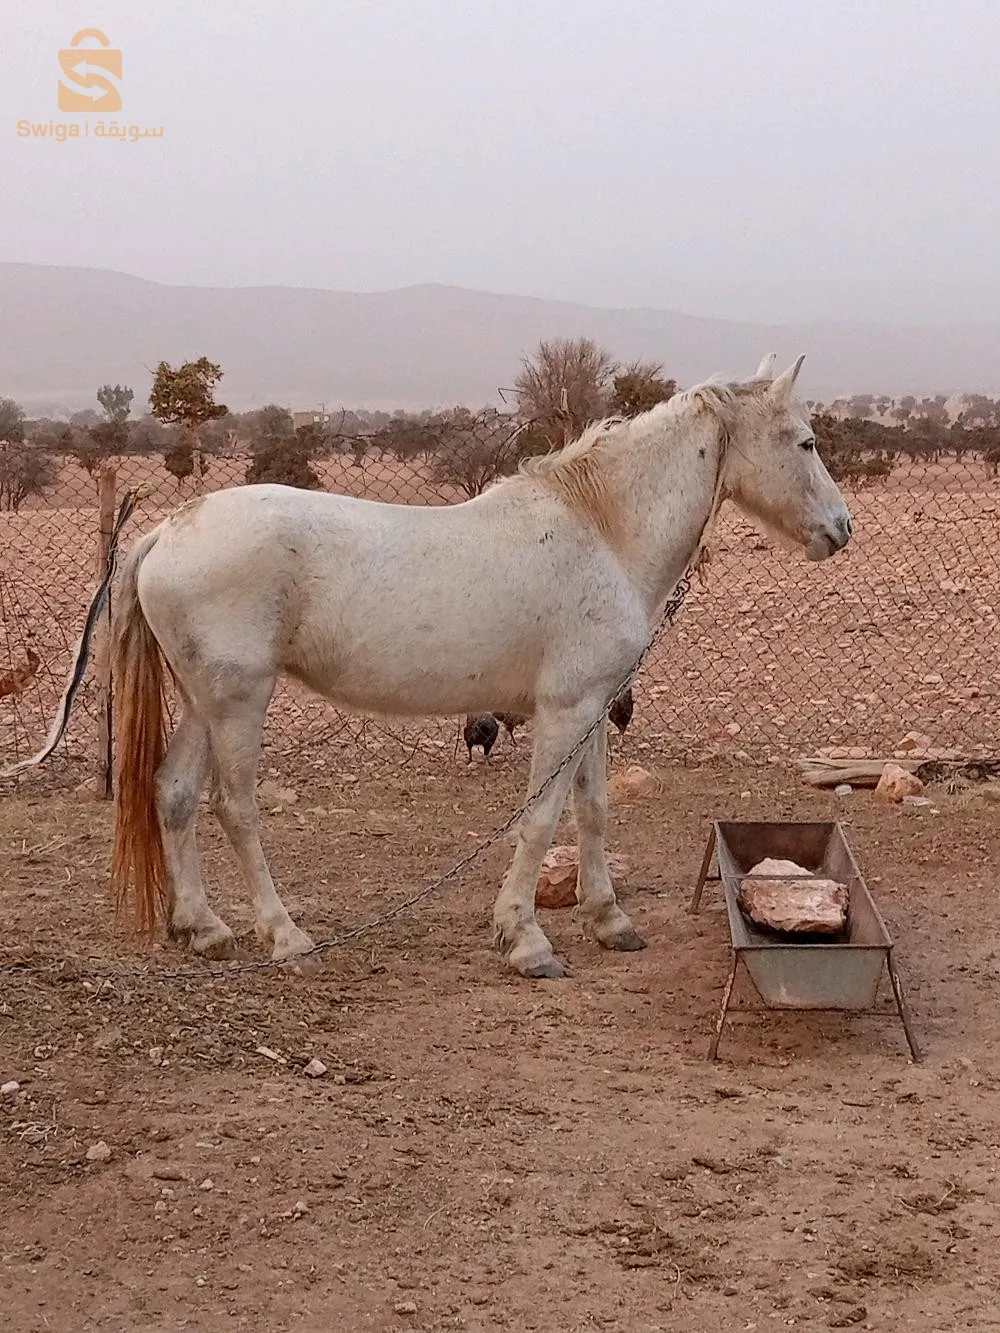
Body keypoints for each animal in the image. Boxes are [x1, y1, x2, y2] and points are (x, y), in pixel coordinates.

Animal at [20, 353, 853, 981]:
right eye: (806, 442)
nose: (842, 529)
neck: (601, 529)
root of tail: (167, 530)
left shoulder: (591, 709)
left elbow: (591, 811)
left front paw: (610, 918)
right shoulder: (564, 710)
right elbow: (541, 819)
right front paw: (526, 940)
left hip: (204, 701)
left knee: (175, 794)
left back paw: (204, 927)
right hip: (238, 704)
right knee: (235, 808)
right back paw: (285, 935)